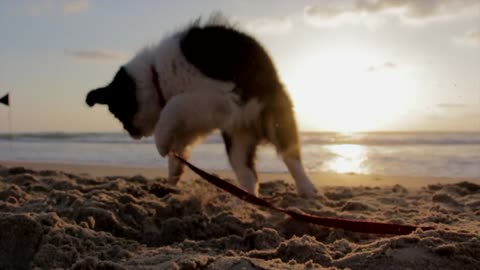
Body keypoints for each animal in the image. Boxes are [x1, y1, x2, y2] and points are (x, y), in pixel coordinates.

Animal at [86, 20, 318, 196]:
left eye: (118, 114)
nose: (131, 134)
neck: (156, 77)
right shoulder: (199, 117)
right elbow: (178, 139)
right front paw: (174, 169)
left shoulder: (223, 96)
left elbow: (173, 106)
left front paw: (161, 144)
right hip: (238, 141)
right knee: (248, 174)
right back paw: (249, 201)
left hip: (274, 119)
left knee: (291, 156)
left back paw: (306, 189)